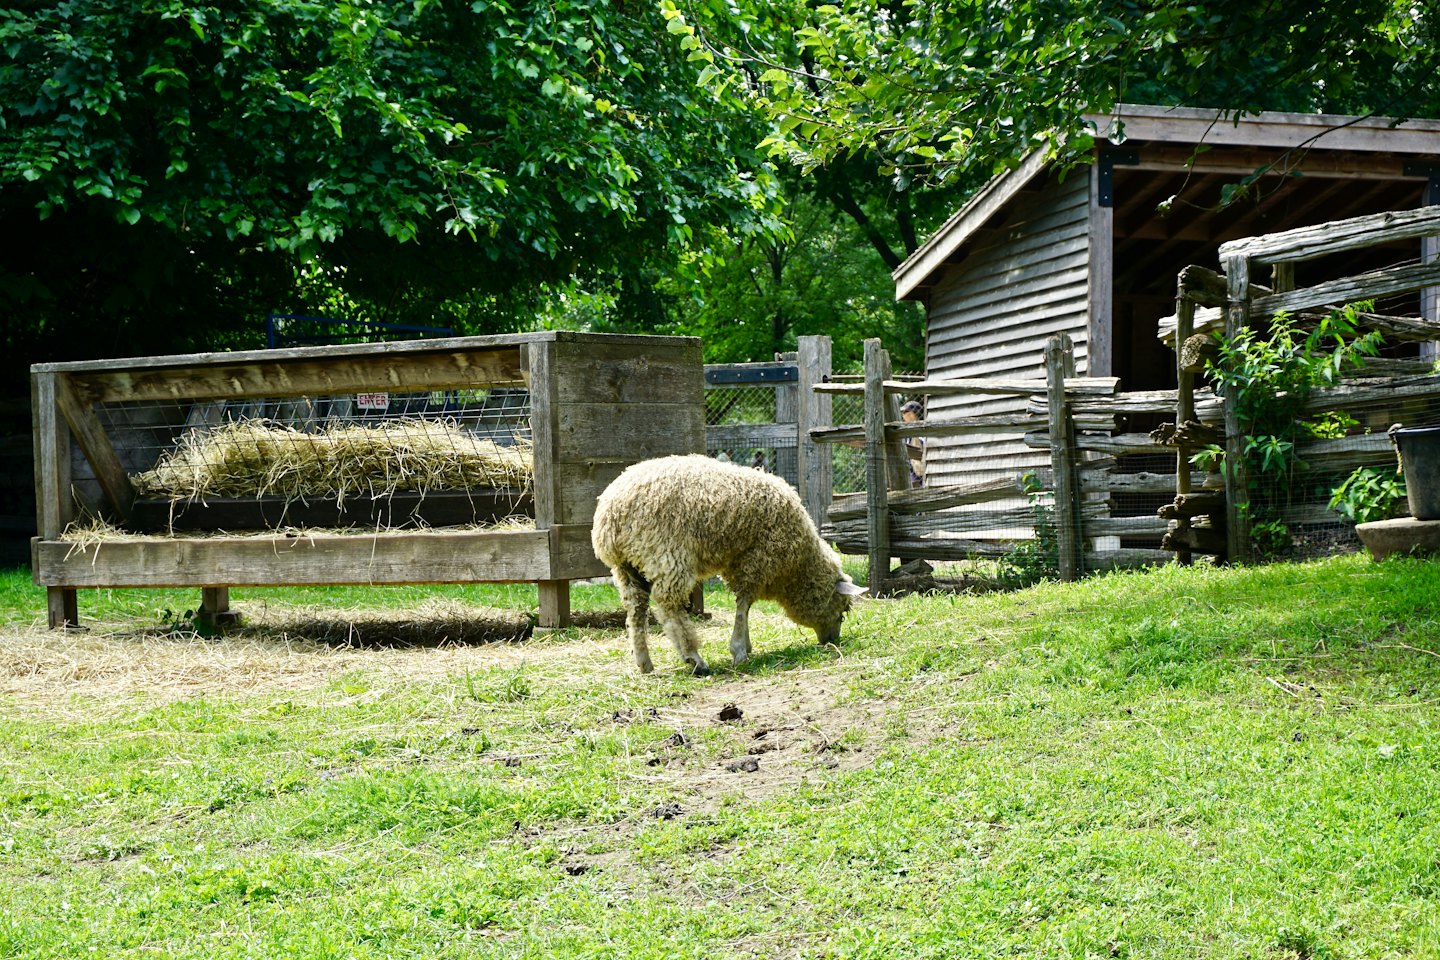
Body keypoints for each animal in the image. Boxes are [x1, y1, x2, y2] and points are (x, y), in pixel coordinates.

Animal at [591, 454, 866, 674]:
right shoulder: (756, 560)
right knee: (670, 607)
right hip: (666, 554)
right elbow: (744, 604)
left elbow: (745, 606)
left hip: (627, 567)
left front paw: (746, 644)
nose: (831, 641)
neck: (797, 565)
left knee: (636, 611)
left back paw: (644, 663)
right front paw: (740, 650)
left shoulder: (739, 563)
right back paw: (694, 659)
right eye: (842, 609)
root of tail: (611, 514)